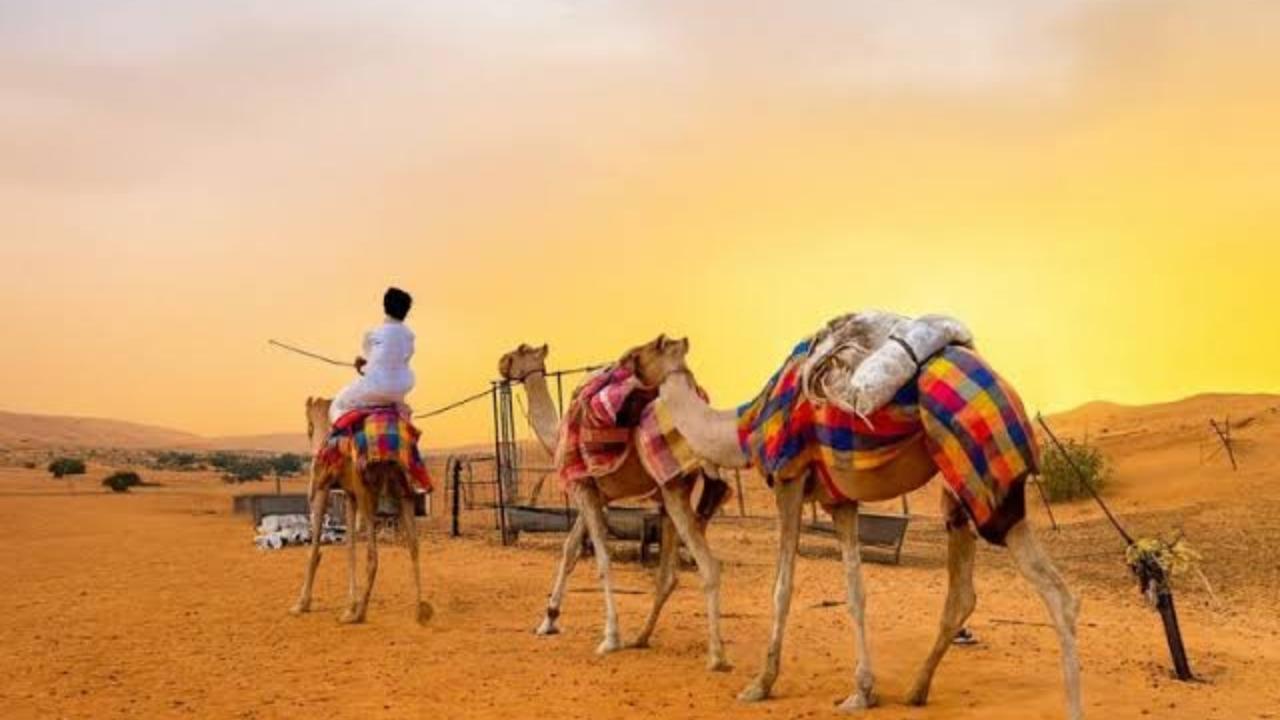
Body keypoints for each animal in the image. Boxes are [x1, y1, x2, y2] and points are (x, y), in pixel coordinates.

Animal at [289, 397, 430, 625]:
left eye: (309, 428)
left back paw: (359, 614)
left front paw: (301, 604)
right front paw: (349, 604)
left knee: (373, 553)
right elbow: (350, 547)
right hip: (404, 489)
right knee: (414, 545)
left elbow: (315, 544)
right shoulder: (349, 493)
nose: (313, 454)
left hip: (368, 493)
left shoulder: (326, 486)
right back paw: (421, 610)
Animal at [498, 341, 731, 670]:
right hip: (676, 493)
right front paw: (548, 621)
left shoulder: (582, 488)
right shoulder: (593, 492)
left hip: (673, 486)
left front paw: (610, 637)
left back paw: (717, 655)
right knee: (668, 575)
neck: (556, 437)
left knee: (708, 565)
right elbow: (569, 549)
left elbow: (601, 560)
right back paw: (642, 637)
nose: (501, 362)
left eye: (519, 351)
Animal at [644, 336, 1083, 719]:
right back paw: (916, 691)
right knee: (963, 593)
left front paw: (760, 684)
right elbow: (855, 591)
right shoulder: (840, 501)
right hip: (957, 487)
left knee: (1057, 593)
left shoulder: (789, 477)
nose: (624, 367)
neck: (746, 425)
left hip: (984, 478)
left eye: (643, 352)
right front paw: (863, 692)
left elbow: (782, 588)